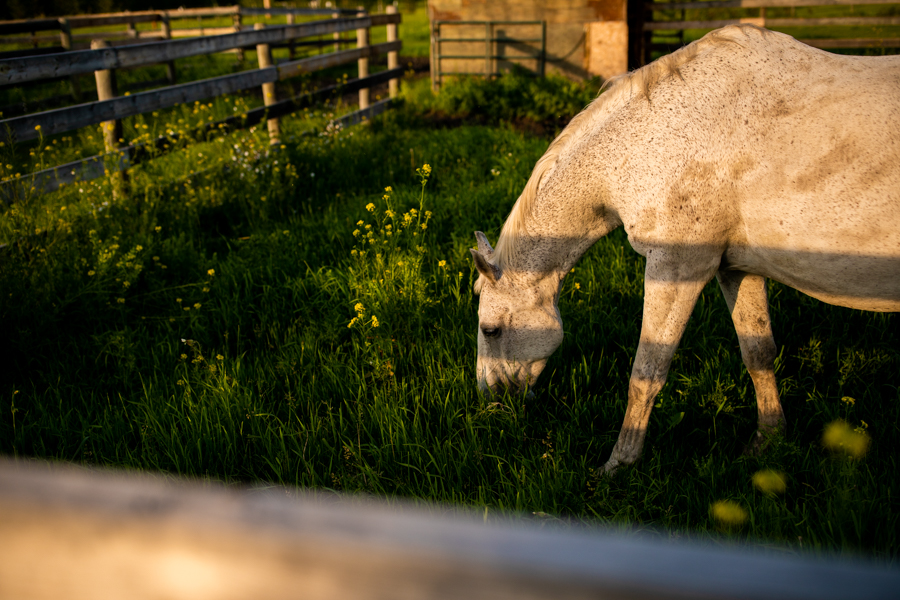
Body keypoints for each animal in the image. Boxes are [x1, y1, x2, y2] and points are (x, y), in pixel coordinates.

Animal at [472, 24, 900, 474]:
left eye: (490, 329)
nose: (489, 398)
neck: (653, 139)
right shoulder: (736, 268)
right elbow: (759, 353)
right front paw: (767, 440)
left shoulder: (677, 267)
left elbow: (647, 371)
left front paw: (618, 464)